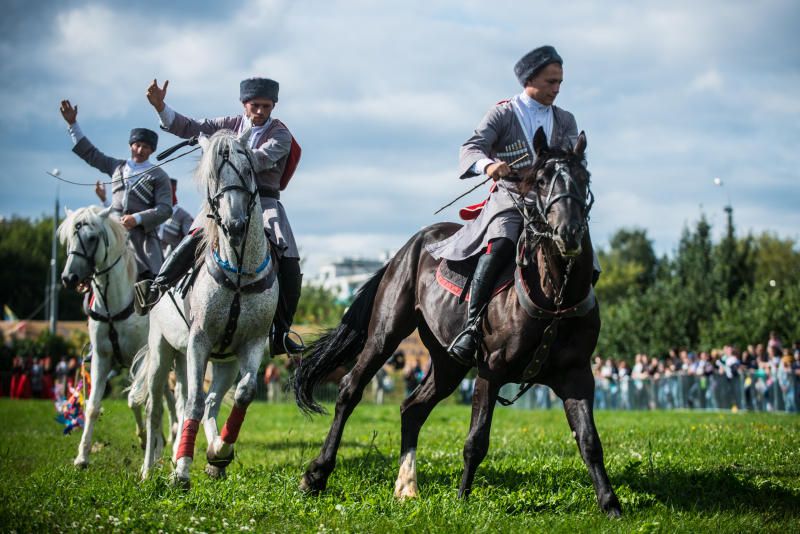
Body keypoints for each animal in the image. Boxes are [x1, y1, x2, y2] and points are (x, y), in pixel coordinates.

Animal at [59, 208, 178, 468]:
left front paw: (144, 439)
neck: (114, 304)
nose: (69, 277)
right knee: (166, 400)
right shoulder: (101, 358)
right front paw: (82, 457)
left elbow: (135, 399)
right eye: (69, 238)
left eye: (92, 237)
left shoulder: (142, 358)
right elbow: (92, 406)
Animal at [134, 130, 278, 486]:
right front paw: (182, 471)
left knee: (211, 401)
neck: (239, 274)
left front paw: (219, 452)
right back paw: (149, 468)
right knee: (158, 408)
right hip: (163, 350)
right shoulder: (198, 341)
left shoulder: (252, 343)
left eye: (248, 169)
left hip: (222, 361)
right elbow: (194, 405)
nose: (236, 224)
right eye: (212, 177)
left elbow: (245, 393)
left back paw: (214, 455)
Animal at [296, 129, 624, 520]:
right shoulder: (490, 371)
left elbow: (590, 442)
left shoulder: (577, 377)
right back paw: (316, 475)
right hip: (385, 335)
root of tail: (407, 247)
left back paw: (406, 486)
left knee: (413, 408)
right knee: (350, 390)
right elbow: (476, 440)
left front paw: (610, 504)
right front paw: (463, 498)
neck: (553, 295)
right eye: (542, 180)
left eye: (584, 178)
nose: (568, 232)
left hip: (447, 363)